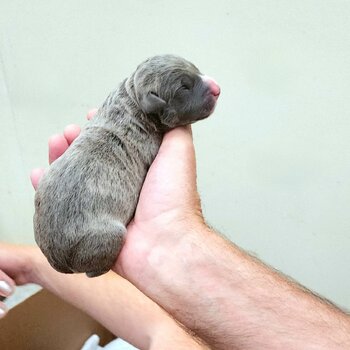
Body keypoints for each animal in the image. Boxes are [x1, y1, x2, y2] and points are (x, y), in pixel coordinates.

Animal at [32, 54, 219, 278]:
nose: (217, 88)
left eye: (196, 69)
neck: (133, 99)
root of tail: (58, 261)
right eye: (184, 87)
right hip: (108, 237)